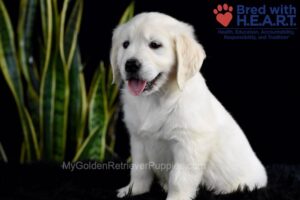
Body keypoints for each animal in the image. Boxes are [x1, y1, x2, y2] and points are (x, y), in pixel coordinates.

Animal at [110, 12, 268, 200]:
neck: (155, 98)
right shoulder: (138, 139)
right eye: (125, 44)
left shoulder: (189, 143)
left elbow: (179, 177)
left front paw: (175, 198)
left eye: (155, 45)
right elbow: (139, 170)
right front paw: (133, 191)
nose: (131, 64)